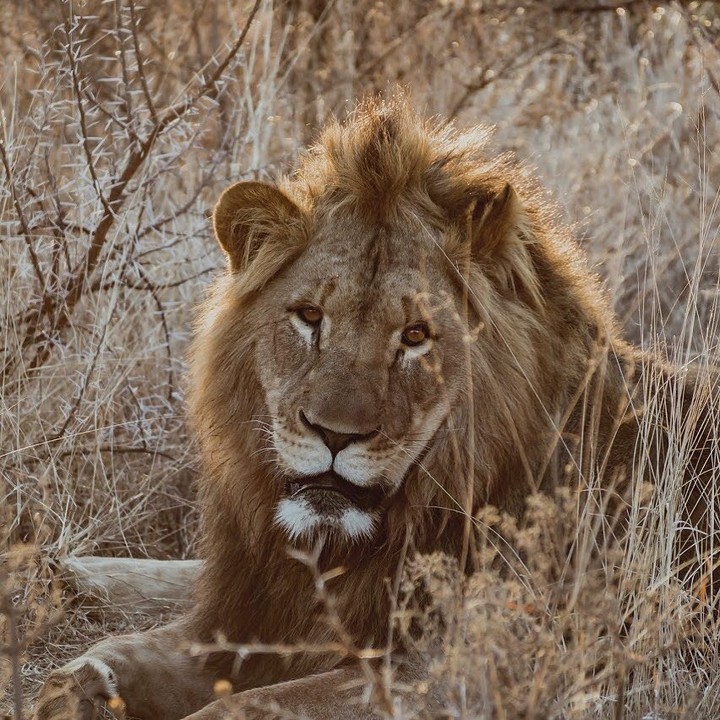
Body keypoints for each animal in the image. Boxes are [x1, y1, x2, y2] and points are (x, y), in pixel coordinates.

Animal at [32, 96, 719, 720]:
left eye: (415, 336)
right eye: (310, 316)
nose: (334, 435)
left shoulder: (459, 668)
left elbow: (247, 708)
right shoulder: (242, 614)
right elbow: (123, 649)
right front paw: (79, 684)